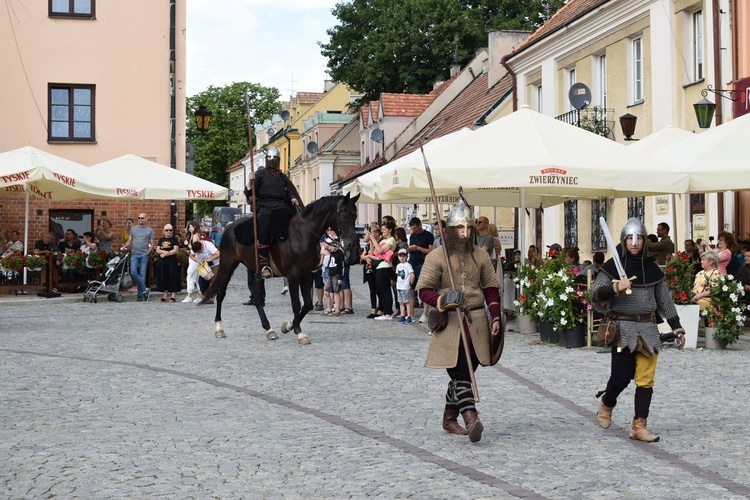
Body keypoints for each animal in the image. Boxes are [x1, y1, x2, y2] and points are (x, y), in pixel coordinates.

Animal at [200, 194, 362, 344]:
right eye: (344, 215)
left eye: (355, 215)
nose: (352, 245)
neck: (302, 235)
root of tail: (229, 227)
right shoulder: (293, 276)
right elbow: (296, 304)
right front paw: (298, 332)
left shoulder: (306, 275)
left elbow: (307, 304)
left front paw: (289, 326)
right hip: (227, 266)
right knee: (221, 294)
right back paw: (219, 328)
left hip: (255, 271)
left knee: (258, 299)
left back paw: (269, 329)